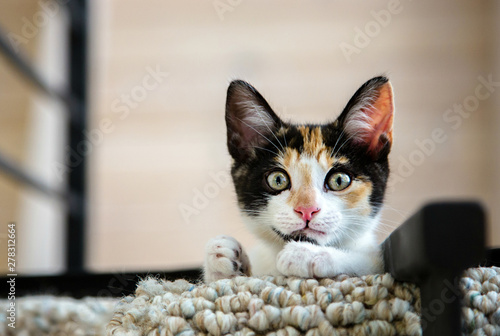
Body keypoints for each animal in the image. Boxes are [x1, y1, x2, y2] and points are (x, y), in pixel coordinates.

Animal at [201, 77, 392, 284]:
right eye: (278, 180)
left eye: (339, 180)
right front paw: (223, 257)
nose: (307, 210)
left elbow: (369, 261)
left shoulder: (375, 261)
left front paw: (307, 254)